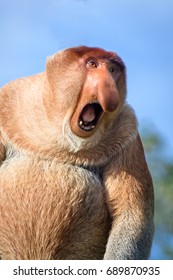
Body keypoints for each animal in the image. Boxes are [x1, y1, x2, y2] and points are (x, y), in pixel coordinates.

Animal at [0, 46, 154, 260]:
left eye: (112, 70)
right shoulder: (8, 100)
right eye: (93, 64)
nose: (108, 84)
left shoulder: (127, 131)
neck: (62, 135)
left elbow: (132, 214)